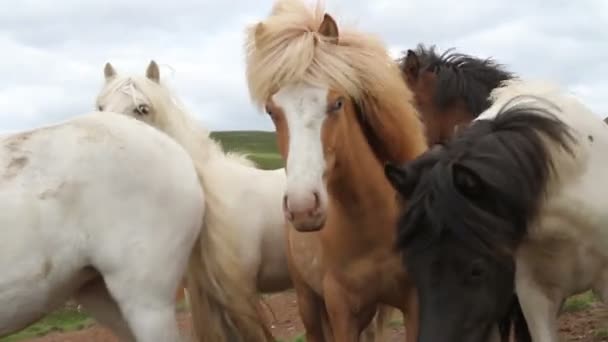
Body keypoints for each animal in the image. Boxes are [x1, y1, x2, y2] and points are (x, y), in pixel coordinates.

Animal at [245, 0, 426, 340]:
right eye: (272, 111)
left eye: (338, 103)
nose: (303, 208)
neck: (372, 226)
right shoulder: (342, 312)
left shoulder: (413, 303)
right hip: (308, 301)